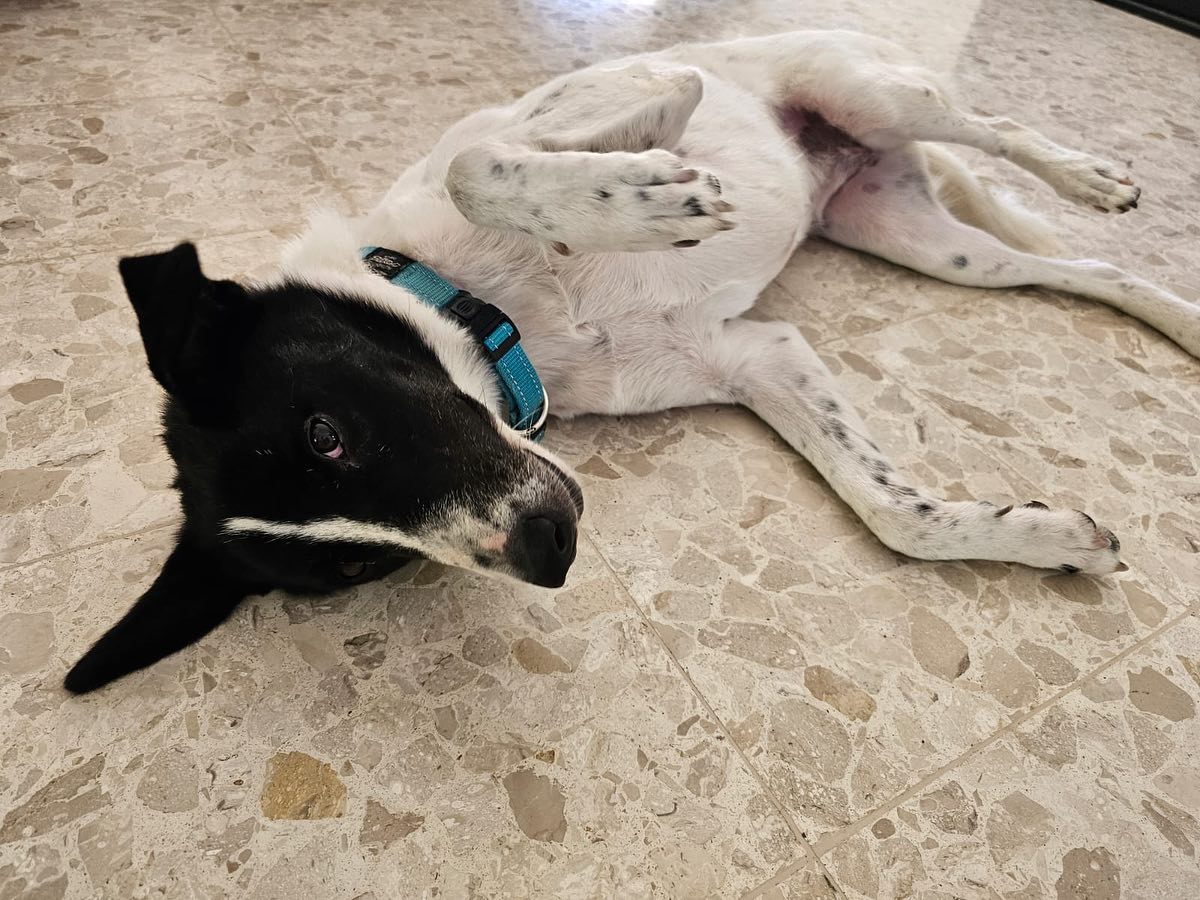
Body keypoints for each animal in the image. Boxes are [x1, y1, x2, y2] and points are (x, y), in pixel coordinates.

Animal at [64, 30, 1200, 693]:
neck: (496, 314)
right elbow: (897, 516)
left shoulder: (652, 87)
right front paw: (1040, 537)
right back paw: (1177, 316)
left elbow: (481, 163)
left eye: (325, 431)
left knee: (998, 129)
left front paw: (638, 203)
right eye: (355, 567)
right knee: (1086, 271)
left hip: (867, 94)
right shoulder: (757, 355)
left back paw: (1093, 176)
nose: (548, 551)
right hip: (923, 242)